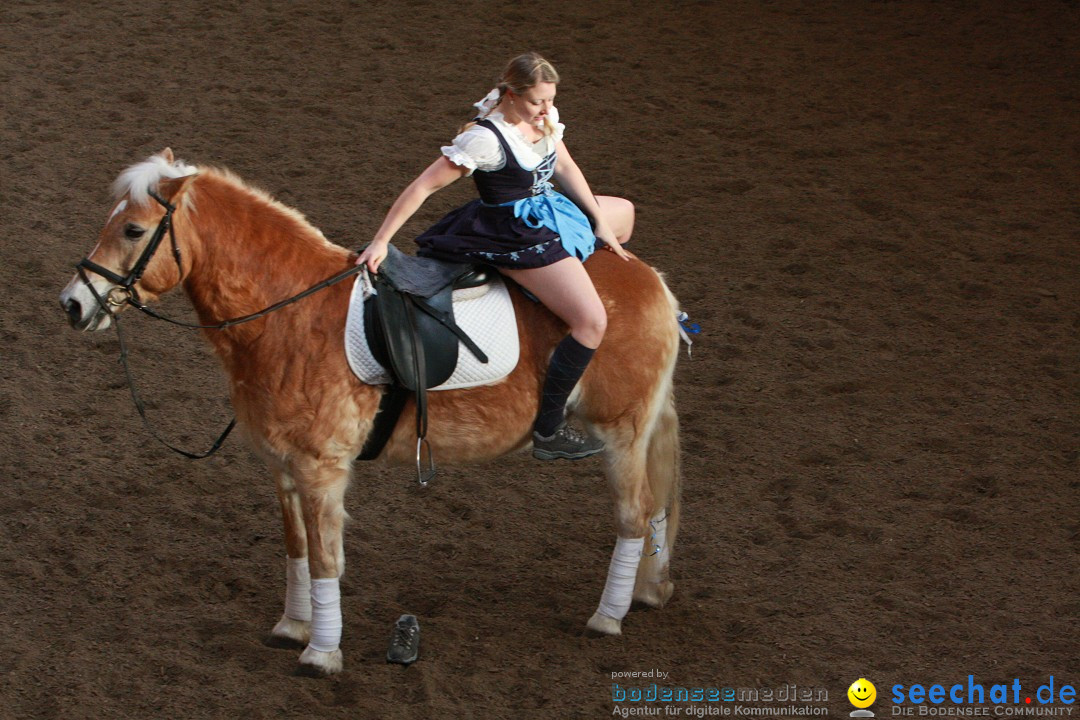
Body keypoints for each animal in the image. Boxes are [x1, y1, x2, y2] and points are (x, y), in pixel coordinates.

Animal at [56, 148, 682, 677]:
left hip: (621, 433)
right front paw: (293, 626)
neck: (289, 313)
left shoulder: (321, 469)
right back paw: (647, 591)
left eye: (133, 229)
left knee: (634, 515)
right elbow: (297, 550)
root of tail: (648, 277)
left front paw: (320, 654)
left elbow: (326, 560)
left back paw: (607, 617)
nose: (73, 304)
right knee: (654, 506)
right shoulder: (282, 467)